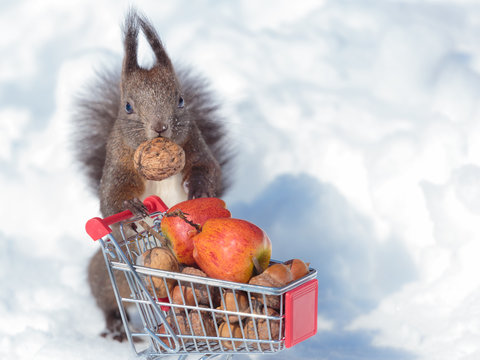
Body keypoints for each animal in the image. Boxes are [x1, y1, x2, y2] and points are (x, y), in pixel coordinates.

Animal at [73, 8, 232, 340]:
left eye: (181, 100)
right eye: (128, 106)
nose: (160, 127)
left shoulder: (196, 145)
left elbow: (209, 169)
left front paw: (199, 188)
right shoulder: (117, 161)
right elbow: (111, 196)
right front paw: (130, 207)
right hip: (110, 276)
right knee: (108, 297)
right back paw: (116, 324)